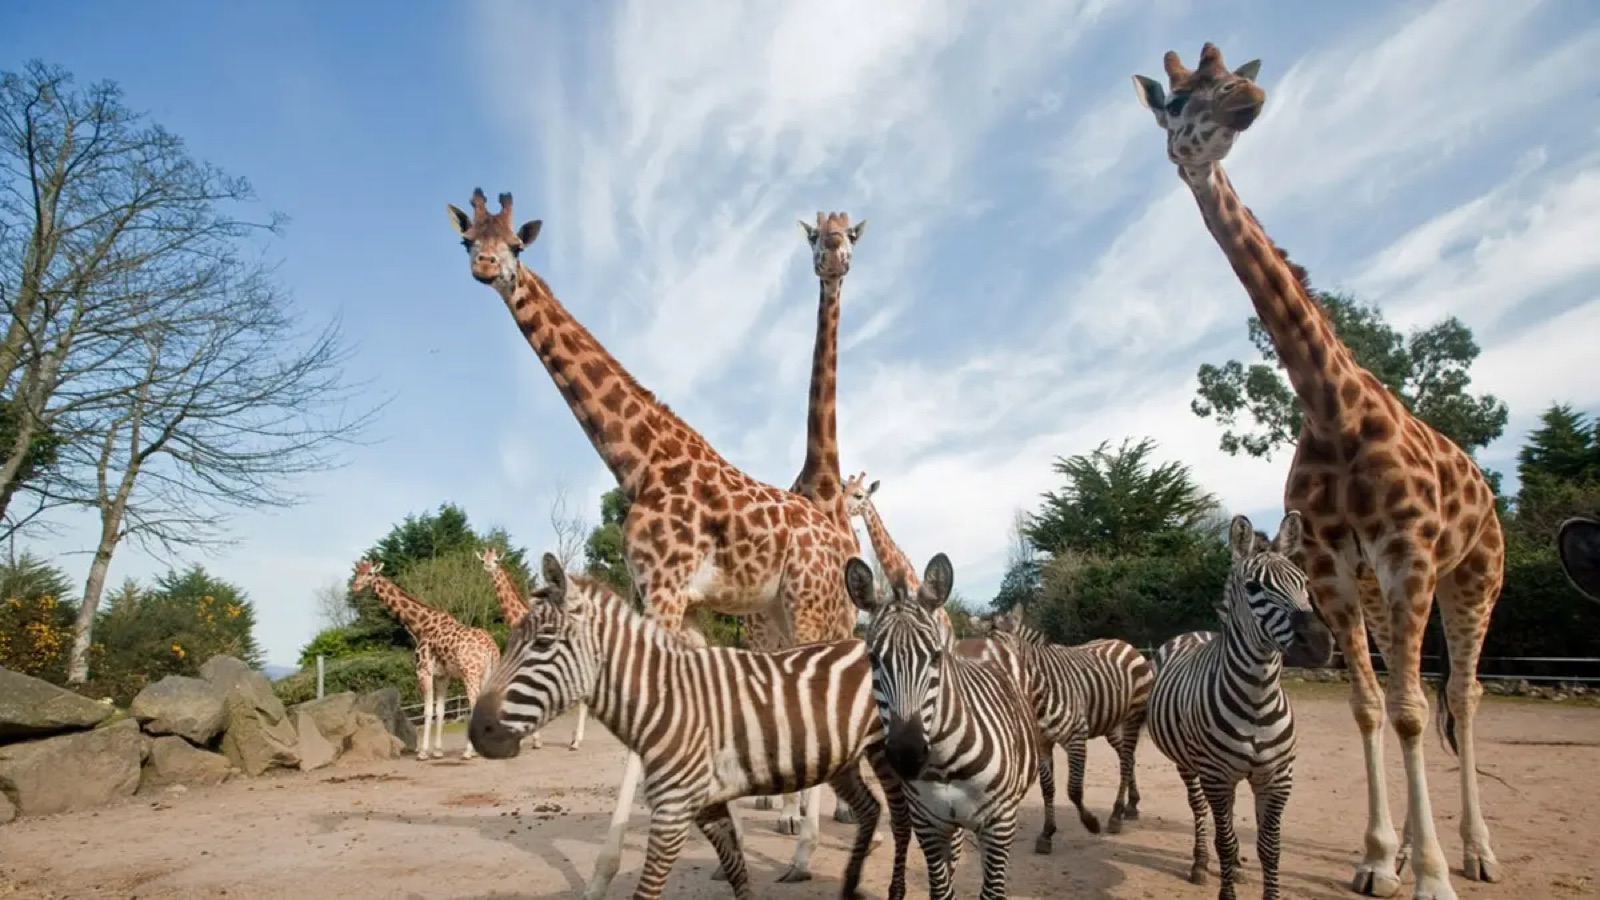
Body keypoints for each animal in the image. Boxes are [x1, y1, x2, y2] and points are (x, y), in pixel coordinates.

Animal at [350, 559, 500, 761]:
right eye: (357, 572)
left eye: (369, 574)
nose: (355, 587)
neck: (420, 626)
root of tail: (492, 647)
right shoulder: (443, 676)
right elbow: (440, 710)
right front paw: (437, 751)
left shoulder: (423, 671)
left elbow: (427, 710)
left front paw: (423, 752)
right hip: (488, 673)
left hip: (470, 673)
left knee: (475, 703)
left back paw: (468, 752)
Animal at [845, 551, 1039, 900]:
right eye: (873, 659)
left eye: (936, 656)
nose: (907, 755)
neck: (945, 764)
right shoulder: (928, 825)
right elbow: (942, 891)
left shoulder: (999, 824)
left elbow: (992, 892)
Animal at [981, 608, 1154, 850]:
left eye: (1006, 658)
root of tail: (1124, 644)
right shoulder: (1042, 742)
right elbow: (1047, 788)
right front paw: (1047, 833)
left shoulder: (1076, 737)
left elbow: (1074, 789)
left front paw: (1091, 823)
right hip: (1111, 723)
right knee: (1126, 757)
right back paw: (1131, 804)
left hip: (1133, 716)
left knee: (1127, 760)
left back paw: (1116, 815)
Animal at [1145, 512, 1334, 900]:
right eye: (1253, 588)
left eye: (1305, 582)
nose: (1319, 644)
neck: (1258, 699)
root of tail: (1195, 633)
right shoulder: (1217, 776)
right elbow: (1226, 840)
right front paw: (1224, 885)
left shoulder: (1278, 777)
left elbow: (1270, 847)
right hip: (1190, 765)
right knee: (1200, 811)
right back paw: (1200, 864)